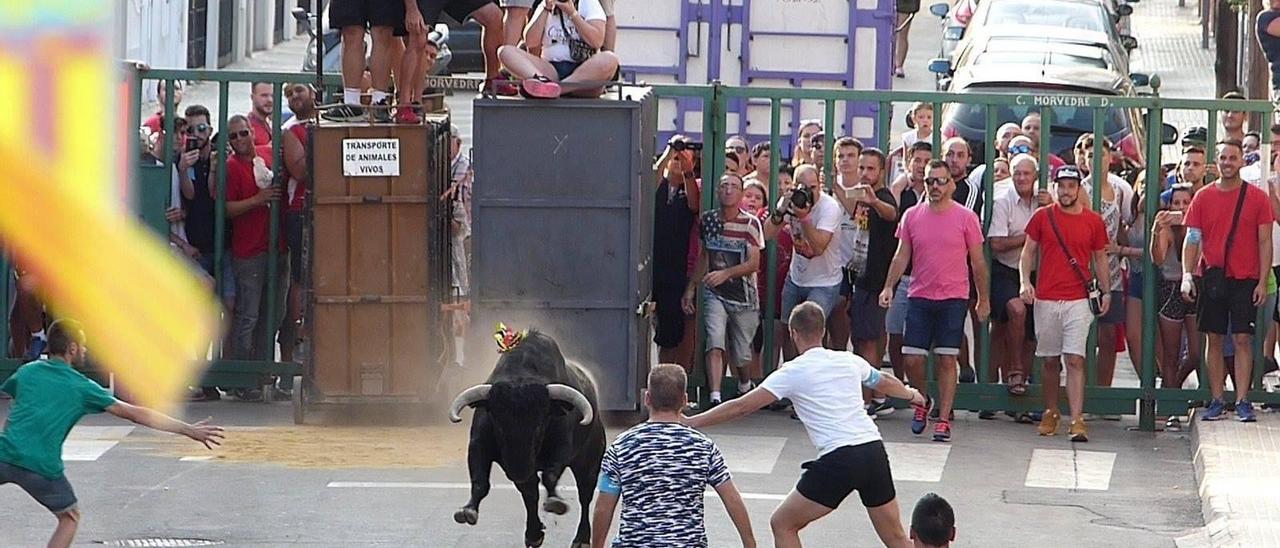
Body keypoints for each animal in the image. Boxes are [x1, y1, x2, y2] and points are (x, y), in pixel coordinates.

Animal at [448, 330, 606, 548]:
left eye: (540, 423)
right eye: (498, 423)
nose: (519, 470)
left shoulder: (562, 448)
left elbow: (550, 476)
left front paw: (555, 503)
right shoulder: (478, 446)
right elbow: (481, 482)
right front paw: (468, 511)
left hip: (589, 460)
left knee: (585, 494)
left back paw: (581, 539)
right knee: (531, 493)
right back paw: (533, 534)